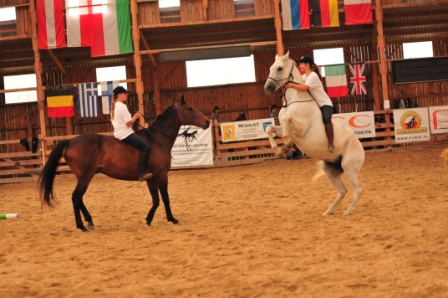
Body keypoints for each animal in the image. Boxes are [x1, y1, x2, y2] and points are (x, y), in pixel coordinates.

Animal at [38, 96, 210, 232]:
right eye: (190, 108)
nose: (207, 122)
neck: (156, 139)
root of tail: (70, 141)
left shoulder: (151, 179)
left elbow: (156, 200)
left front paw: (148, 221)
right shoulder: (161, 175)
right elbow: (166, 199)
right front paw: (172, 219)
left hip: (86, 177)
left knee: (79, 198)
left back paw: (89, 221)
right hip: (85, 176)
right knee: (76, 197)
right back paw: (82, 226)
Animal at [262, 52, 364, 215]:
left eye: (279, 68)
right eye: (272, 67)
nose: (268, 88)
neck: (295, 101)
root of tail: (360, 147)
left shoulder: (300, 130)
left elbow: (286, 120)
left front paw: (286, 144)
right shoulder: (286, 128)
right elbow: (270, 129)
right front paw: (278, 150)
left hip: (350, 170)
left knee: (358, 190)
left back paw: (348, 211)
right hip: (330, 170)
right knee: (343, 191)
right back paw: (328, 212)